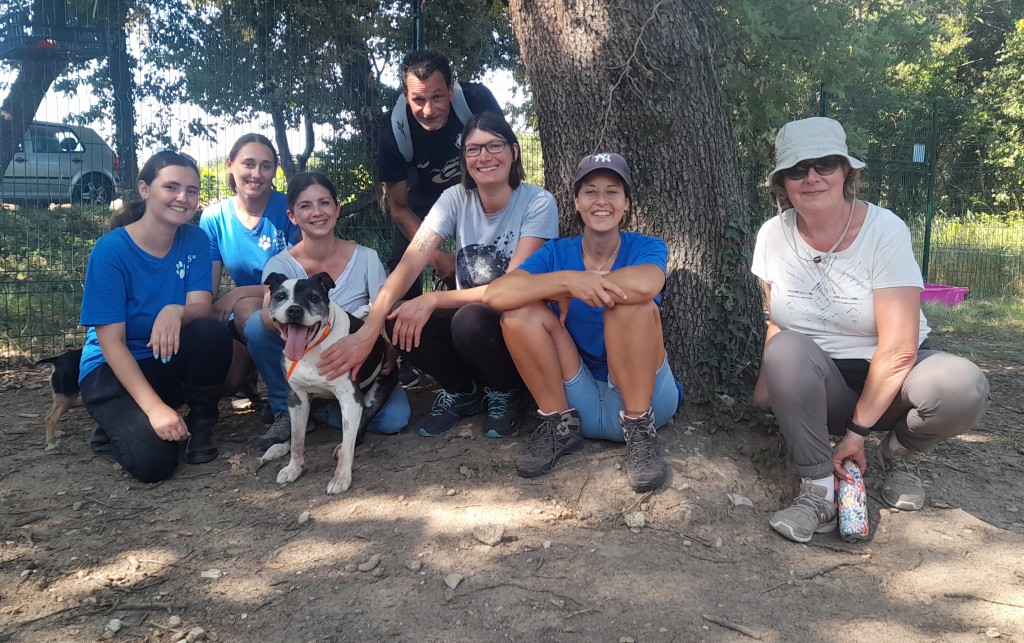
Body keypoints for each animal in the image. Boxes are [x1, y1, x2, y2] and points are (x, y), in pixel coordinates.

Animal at [260, 270, 395, 491]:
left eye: (314, 297)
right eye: (281, 296)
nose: (294, 310)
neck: (312, 349)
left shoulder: (350, 399)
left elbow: (348, 444)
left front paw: (341, 478)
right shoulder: (297, 398)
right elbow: (297, 439)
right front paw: (294, 468)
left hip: (377, 392)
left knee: (361, 425)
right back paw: (277, 448)